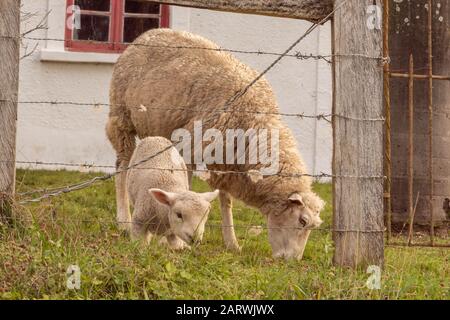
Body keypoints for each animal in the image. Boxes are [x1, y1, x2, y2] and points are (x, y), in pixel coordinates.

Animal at [107, 28, 326, 260]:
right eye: (302, 221)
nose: (292, 261)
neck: (254, 117)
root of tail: (150, 33)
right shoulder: (191, 146)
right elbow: (186, 188)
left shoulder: (226, 163)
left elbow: (225, 200)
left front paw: (232, 242)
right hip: (121, 117)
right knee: (122, 167)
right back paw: (123, 220)